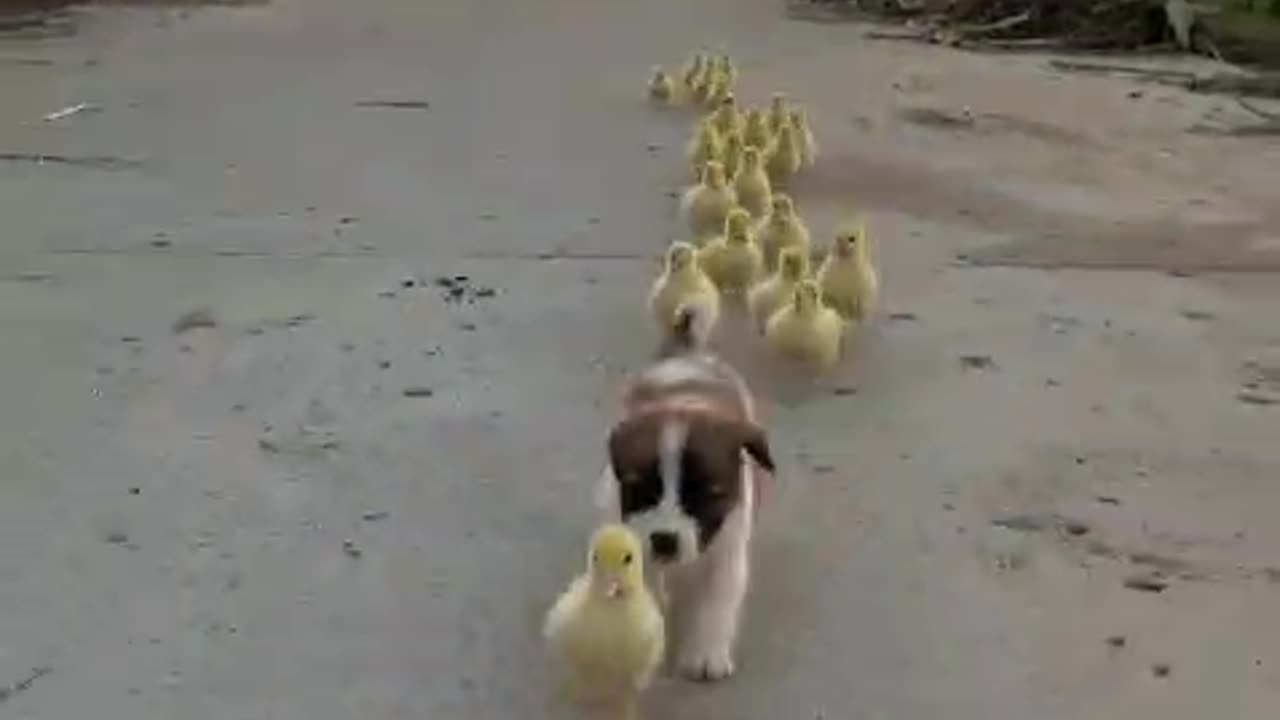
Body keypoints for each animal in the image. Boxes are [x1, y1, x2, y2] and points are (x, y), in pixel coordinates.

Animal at [593, 301, 773, 676]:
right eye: (641, 489)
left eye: (708, 494)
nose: (664, 541)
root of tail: (689, 353)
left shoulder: (729, 540)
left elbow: (718, 598)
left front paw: (707, 652)